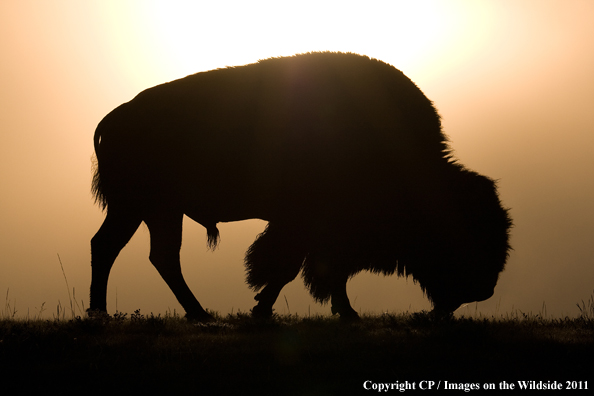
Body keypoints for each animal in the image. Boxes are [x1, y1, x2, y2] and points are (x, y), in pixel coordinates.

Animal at [90, 51, 512, 322]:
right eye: (467, 233)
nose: (481, 290)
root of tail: (115, 117)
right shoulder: (307, 226)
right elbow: (293, 267)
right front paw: (267, 309)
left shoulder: (317, 231)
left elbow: (316, 270)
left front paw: (340, 311)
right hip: (140, 206)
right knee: (117, 248)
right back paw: (114, 312)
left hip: (156, 210)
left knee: (150, 254)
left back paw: (190, 313)